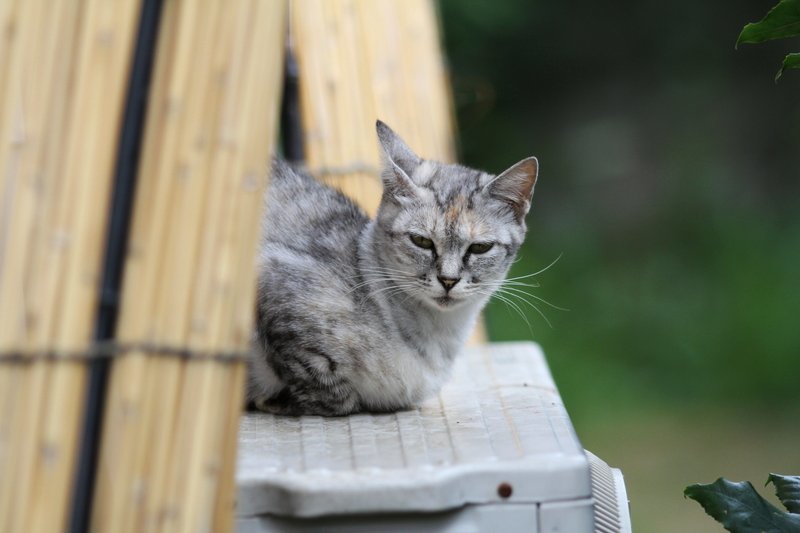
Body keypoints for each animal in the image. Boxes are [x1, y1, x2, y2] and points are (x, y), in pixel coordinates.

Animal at [250, 120, 536, 416]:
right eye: (421, 241)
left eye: (480, 247)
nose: (448, 280)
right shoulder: (273, 277)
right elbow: (336, 393)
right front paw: (275, 400)